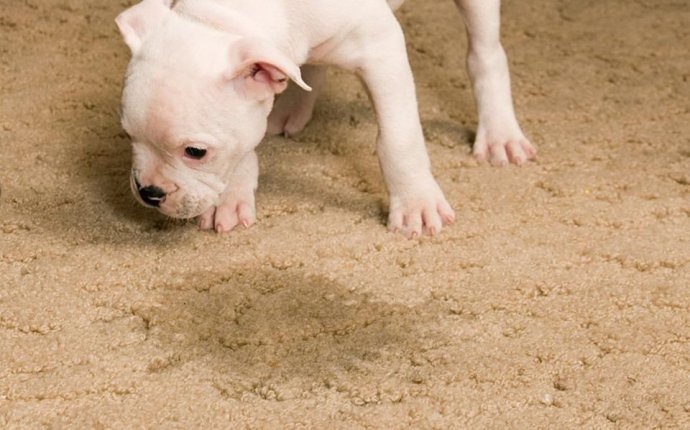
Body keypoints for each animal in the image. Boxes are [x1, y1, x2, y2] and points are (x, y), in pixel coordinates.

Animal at [115, 0, 532, 235]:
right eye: (128, 136)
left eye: (195, 152)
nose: (148, 193)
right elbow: (247, 143)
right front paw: (231, 196)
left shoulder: (382, 49)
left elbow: (398, 139)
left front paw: (416, 203)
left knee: (485, 54)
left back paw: (499, 134)